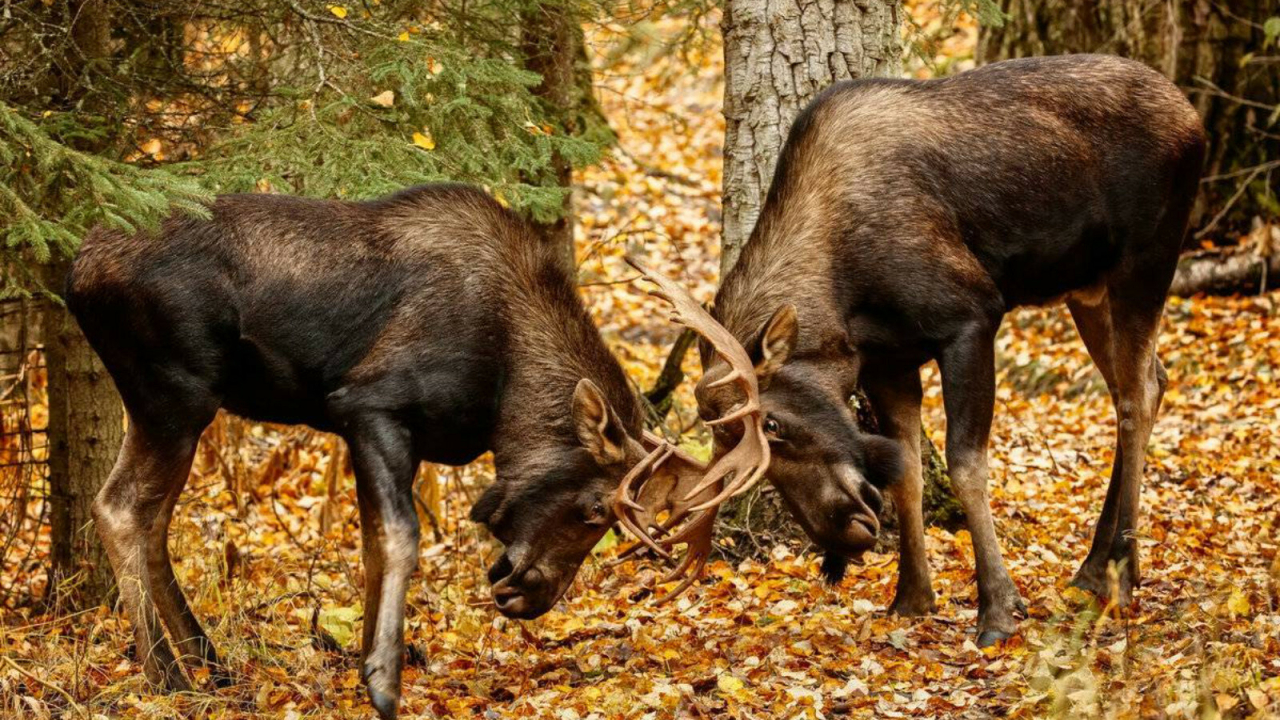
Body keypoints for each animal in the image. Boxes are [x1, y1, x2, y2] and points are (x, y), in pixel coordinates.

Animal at [64, 183, 737, 712]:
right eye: (596, 509)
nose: (533, 597)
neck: (503, 393)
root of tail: (76, 270)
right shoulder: (369, 406)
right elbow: (399, 539)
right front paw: (383, 682)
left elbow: (369, 546)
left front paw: (367, 657)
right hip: (174, 395)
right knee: (121, 508)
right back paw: (168, 677)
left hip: (170, 406)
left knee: (152, 520)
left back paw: (210, 663)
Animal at [691, 53, 1198, 640]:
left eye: (772, 423)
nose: (841, 534)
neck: (842, 299)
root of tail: (1192, 115)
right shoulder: (887, 361)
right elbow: (908, 471)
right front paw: (912, 596)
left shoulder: (972, 318)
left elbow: (965, 466)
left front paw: (998, 607)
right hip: (1086, 289)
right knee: (1148, 381)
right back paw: (1094, 567)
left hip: (1147, 259)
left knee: (1135, 396)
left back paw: (1122, 570)